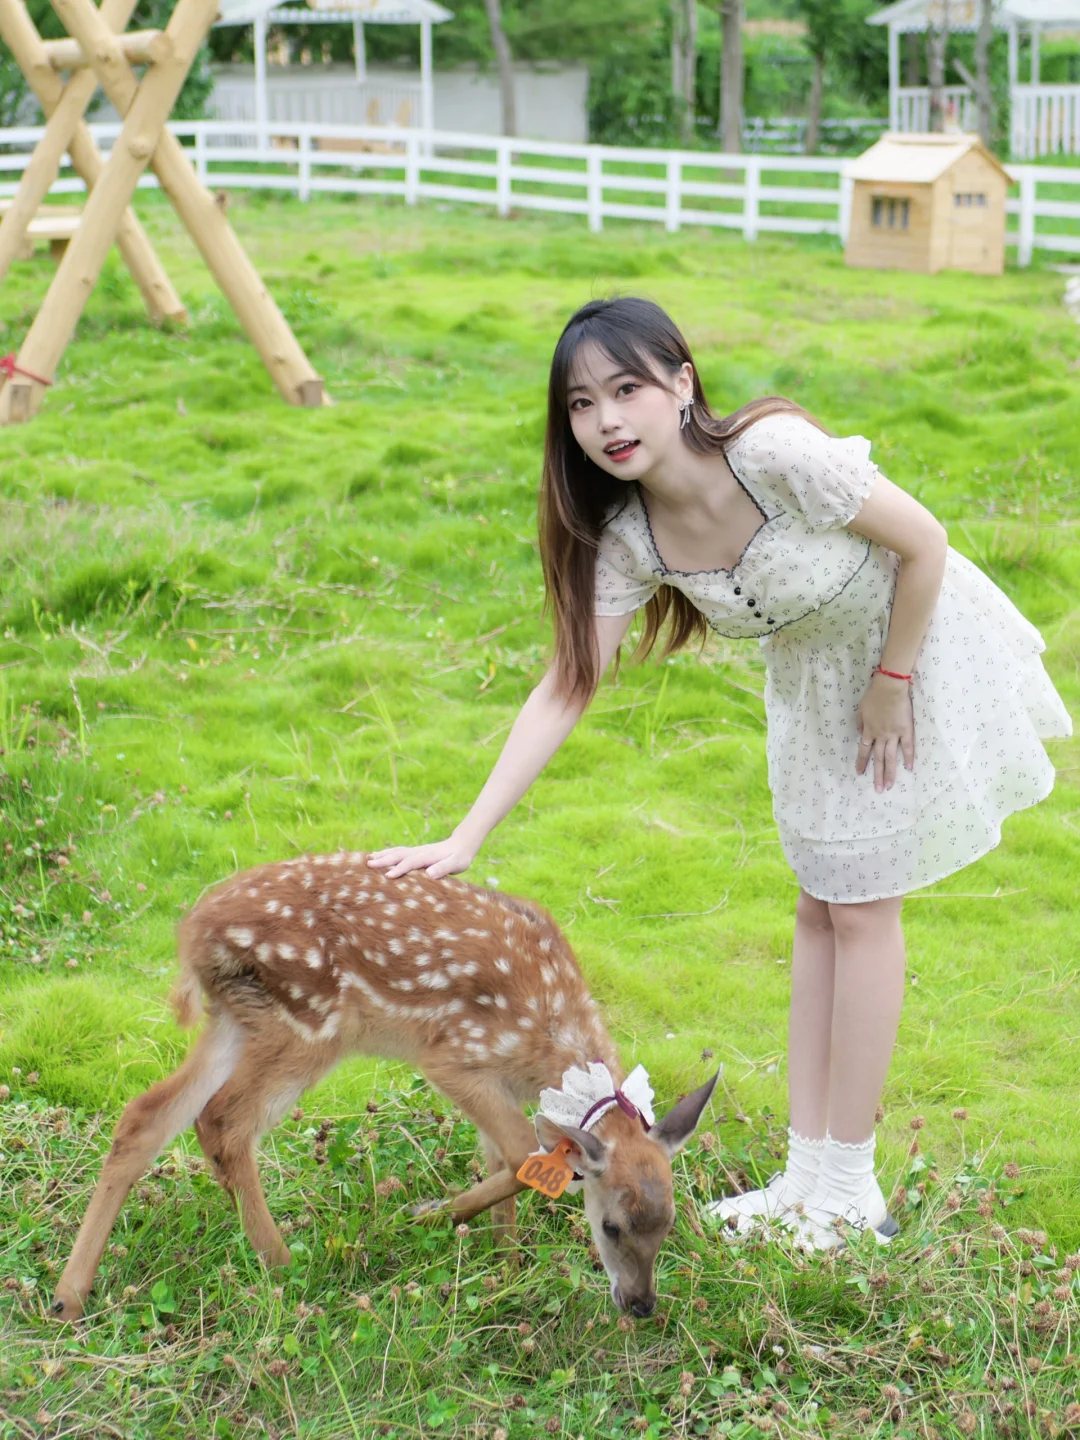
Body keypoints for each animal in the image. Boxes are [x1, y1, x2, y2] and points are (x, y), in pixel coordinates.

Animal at [52, 851, 718, 1322]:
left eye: (669, 1225)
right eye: (613, 1226)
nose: (642, 1305)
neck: (551, 1043)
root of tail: (191, 933)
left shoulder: (500, 1084)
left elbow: (505, 1161)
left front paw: (505, 1271)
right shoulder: (451, 1056)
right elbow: (523, 1158)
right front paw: (418, 1218)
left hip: (238, 1020)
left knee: (146, 1115)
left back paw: (68, 1297)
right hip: (308, 1024)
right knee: (221, 1121)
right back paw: (285, 1267)